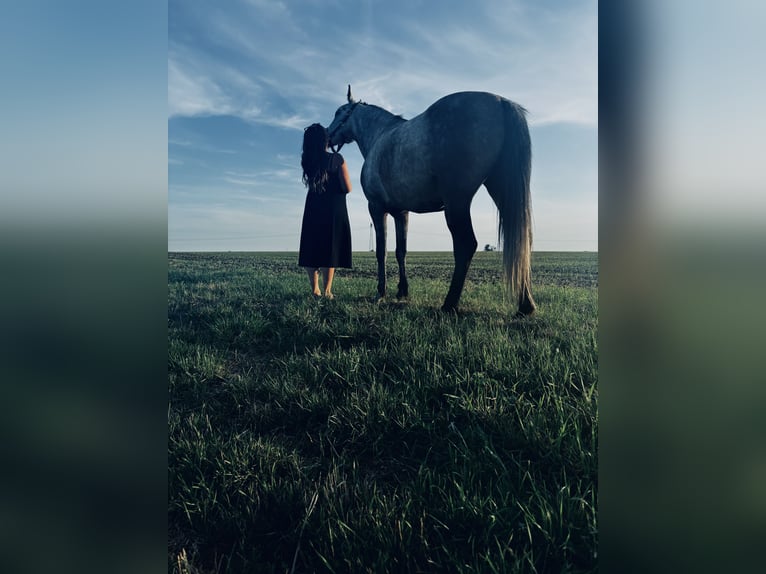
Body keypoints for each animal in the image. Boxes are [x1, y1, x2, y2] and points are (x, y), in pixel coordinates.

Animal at [330, 86, 540, 320]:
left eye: (338, 112)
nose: (327, 136)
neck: (379, 136)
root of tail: (501, 102)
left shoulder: (376, 208)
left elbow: (381, 251)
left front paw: (380, 293)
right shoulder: (401, 213)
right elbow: (401, 251)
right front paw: (402, 291)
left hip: (457, 203)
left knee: (466, 245)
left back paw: (449, 304)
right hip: (500, 192)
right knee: (521, 241)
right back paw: (525, 306)